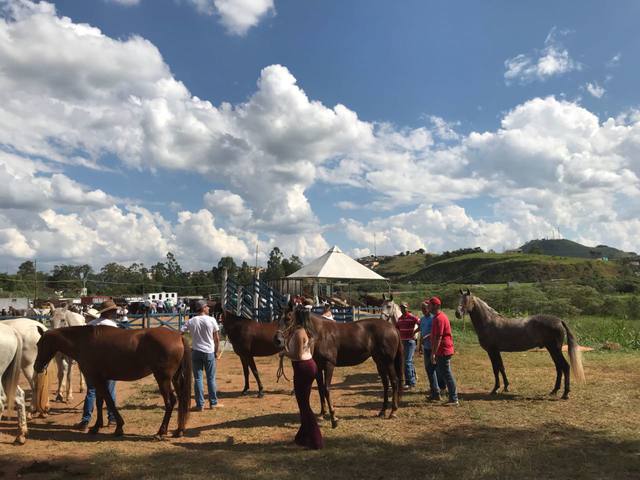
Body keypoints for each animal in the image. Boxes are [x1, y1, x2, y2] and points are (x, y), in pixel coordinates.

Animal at [34, 326, 191, 438]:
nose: (36, 367)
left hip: (163, 379)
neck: (85, 342)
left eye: (40, 344)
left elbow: (109, 401)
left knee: (170, 402)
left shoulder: (96, 379)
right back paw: (179, 430)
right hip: (175, 379)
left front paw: (119, 427)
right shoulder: (100, 379)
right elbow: (100, 402)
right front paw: (97, 426)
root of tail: (178, 336)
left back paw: (160, 432)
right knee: (181, 400)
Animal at [274, 304, 402, 428]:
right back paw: (382, 411)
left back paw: (393, 412)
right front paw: (322, 414)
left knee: (394, 382)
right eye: (278, 318)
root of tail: (392, 328)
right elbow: (320, 390)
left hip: (389, 362)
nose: (278, 340)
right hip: (379, 362)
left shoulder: (329, 365)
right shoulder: (318, 367)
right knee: (385, 384)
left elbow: (326, 389)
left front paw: (333, 418)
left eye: (288, 318)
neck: (320, 334)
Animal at [456, 288, 584, 398]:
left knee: (565, 367)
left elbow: (495, 369)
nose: (457, 313)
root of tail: (559, 320)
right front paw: (506, 387)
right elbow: (501, 367)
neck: (489, 322)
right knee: (559, 367)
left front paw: (495, 389)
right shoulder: (497, 351)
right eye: (458, 299)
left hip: (555, 349)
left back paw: (565, 394)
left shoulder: (492, 351)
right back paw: (554, 390)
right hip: (552, 349)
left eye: (466, 300)